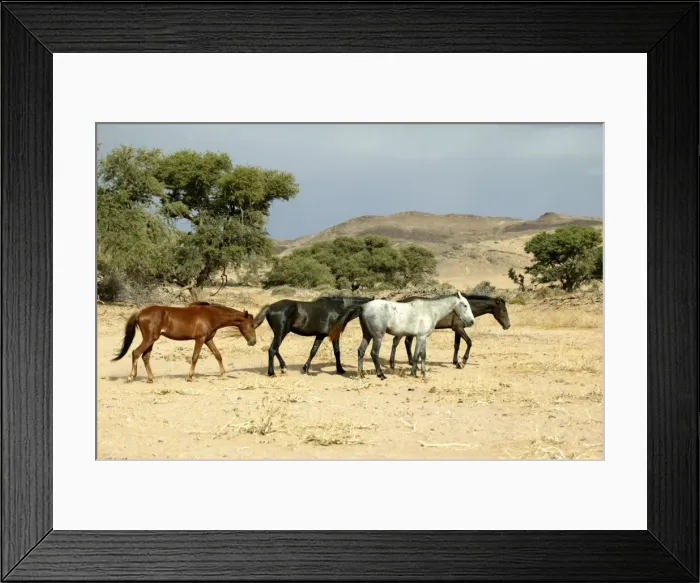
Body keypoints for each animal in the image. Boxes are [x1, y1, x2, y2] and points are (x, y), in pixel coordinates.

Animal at [111, 301, 257, 383]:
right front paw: (190, 377)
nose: (253, 342)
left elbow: (218, 355)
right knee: (136, 353)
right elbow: (195, 357)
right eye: (251, 325)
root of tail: (140, 313)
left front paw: (223, 374)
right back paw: (131, 377)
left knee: (145, 357)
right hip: (149, 339)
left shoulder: (208, 339)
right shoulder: (200, 339)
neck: (211, 315)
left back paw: (151, 379)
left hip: (151, 340)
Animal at [328, 291, 475, 380]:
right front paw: (414, 373)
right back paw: (381, 375)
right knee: (374, 353)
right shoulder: (420, 337)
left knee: (361, 351)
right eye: (464, 305)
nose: (471, 321)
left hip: (367, 335)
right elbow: (416, 356)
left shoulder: (423, 338)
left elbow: (422, 355)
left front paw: (422, 372)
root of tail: (363, 306)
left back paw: (362, 374)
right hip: (377, 336)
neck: (429, 310)